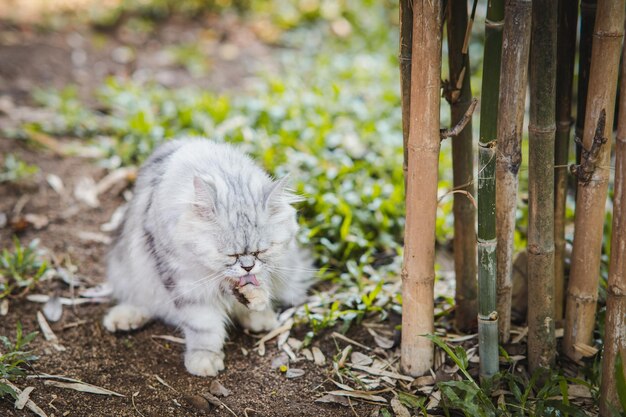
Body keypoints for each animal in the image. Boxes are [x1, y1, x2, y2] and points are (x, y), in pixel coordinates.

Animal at [102, 138, 312, 376]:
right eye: (230, 254)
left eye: (260, 252)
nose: (248, 267)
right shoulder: (186, 284)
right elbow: (205, 327)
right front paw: (205, 359)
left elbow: (258, 289)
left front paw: (254, 301)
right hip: (131, 274)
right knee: (145, 302)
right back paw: (124, 318)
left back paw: (260, 319)